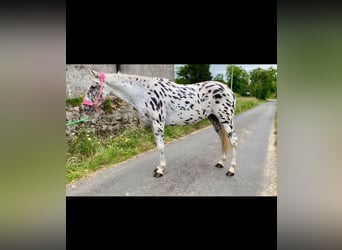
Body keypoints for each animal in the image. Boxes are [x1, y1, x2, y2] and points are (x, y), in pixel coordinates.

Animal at [83, 69, 238, 177]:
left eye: (93, 86)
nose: (85, 107)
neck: (143, 92)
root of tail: (229, 90)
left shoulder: (158, 123)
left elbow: (161, 146)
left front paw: (160, 170)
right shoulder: (153, 124)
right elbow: (159, 146)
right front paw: (159, 168)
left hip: (226, 119)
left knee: (234, 141)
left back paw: (231, 170)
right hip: (215, 119)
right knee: (222, 139)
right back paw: (220, 163)